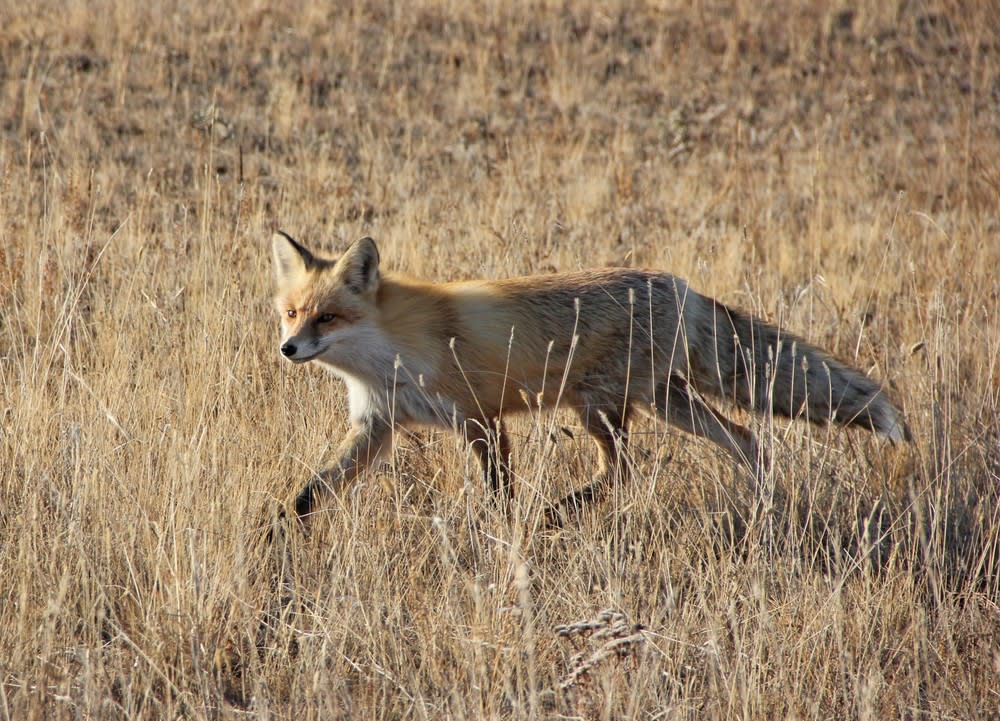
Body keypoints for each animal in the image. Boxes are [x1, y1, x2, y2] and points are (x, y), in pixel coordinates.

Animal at [271, 231, 911, 524]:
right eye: (292, 312)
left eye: (328, 318)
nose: (288, 348)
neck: (388, 355)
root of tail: (680, 284)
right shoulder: (376, 425)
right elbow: (311, 490)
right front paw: (277, 530)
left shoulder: (479, 416)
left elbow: (499, 491)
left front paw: (502, 533)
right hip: (663, 400)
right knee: (745, 438)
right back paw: (761, 504)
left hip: (598, 405)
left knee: (624, 469)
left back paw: (559, 512)